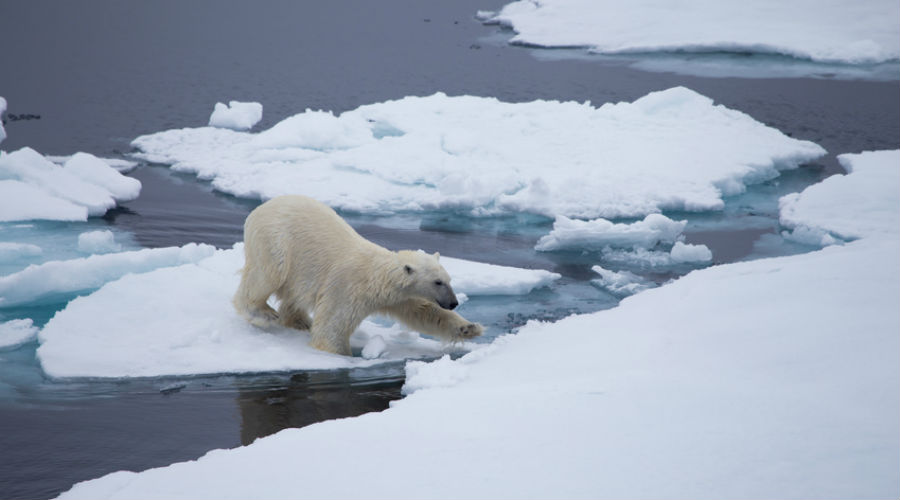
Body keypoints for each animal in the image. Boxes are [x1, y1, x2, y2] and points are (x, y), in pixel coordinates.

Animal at [232, 195, 486, 356]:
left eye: (449, 280)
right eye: (438, 282)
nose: (453, 303)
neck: (376, 278)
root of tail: (262, 207)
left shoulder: (400, 297)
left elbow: (424, 313)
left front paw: (469, 328)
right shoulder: (346, 288)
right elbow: (332, 328)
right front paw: (343, 356)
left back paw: (300, 321)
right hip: (275, 240)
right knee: (267, 274)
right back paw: (262, 312)